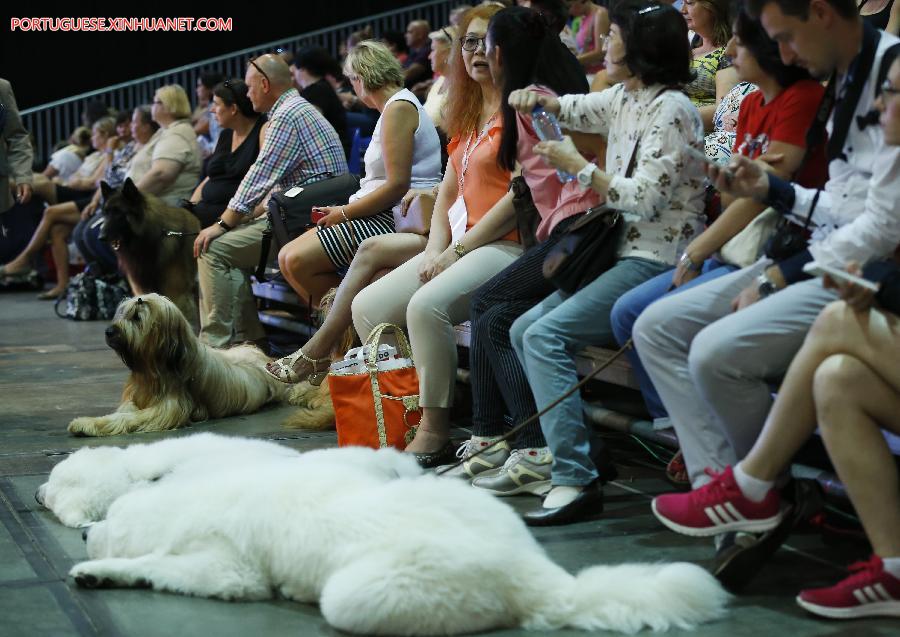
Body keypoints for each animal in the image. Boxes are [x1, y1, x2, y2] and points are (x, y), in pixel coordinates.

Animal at [70, 294, 296, 438]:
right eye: (122, 313)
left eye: (137, 318)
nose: (109, 331)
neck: (154, 368)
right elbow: (125, 411)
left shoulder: (168, 409)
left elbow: (128, 417)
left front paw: (85, 423)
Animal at [70, 448, 732, 636]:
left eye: (106, 520)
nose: (83, 530)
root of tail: (538, 575)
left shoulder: (227, 569)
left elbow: (158, 564)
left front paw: (103, 568)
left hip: (356, 595)